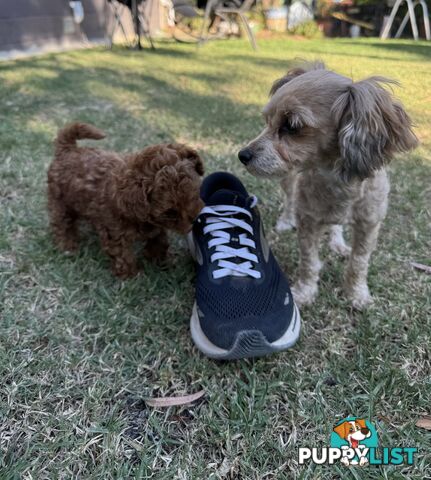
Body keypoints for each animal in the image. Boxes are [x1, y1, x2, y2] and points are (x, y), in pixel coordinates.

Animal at [48, 123, 207, 278]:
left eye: (195, 194)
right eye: (170, 212)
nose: (195, 219)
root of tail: (67, 149)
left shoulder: (154, 227)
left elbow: (160, 240)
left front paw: (160, 260)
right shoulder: (115, 233)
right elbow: (123, 255)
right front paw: (132, 275)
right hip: (59, 202)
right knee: (62, 224)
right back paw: (67, 246)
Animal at [240, 62, 418, 308]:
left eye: (291, 126)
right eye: (268, 121)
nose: (243, 155)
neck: (336, 181)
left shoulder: (369, 223)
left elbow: (359, 262)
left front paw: (356, 293)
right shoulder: (308, 222)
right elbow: (309, 261)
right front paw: (304, 292)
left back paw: (338, 242)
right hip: (288, 179)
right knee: (289, 199)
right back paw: (286, 220)